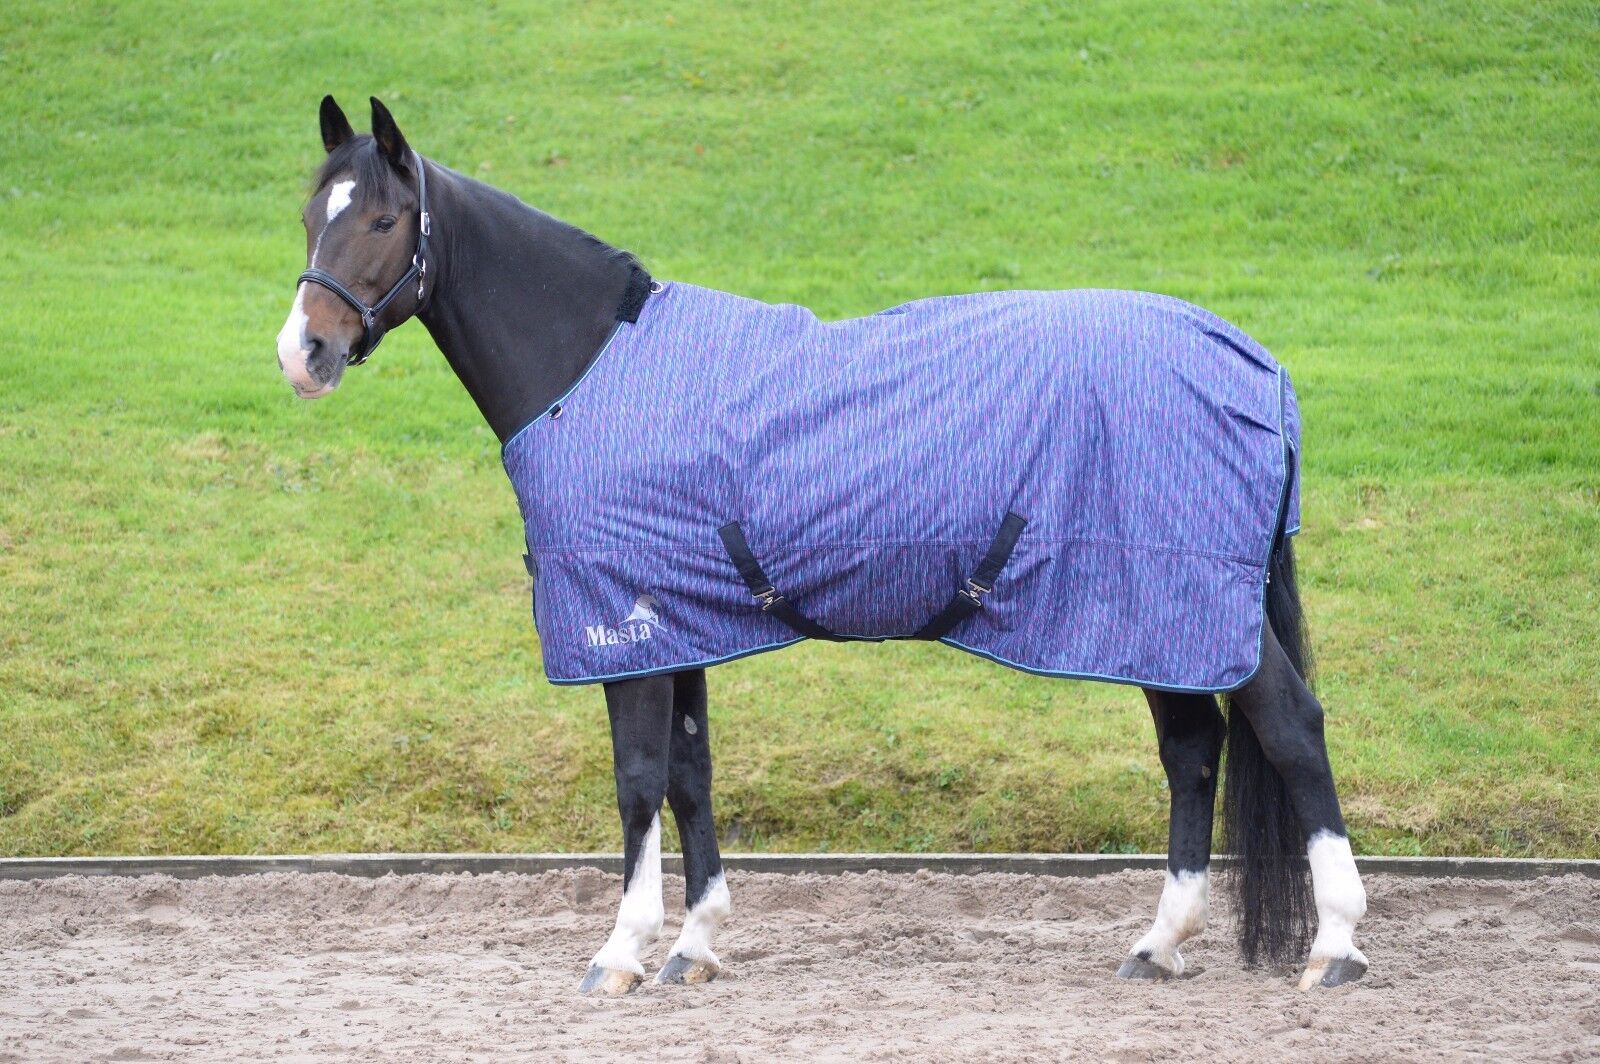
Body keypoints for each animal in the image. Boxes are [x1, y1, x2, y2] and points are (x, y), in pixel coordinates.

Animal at [277, 96, 1368, 995]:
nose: (303, 352)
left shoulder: (628, 626)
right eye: (309, 214)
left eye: (382, 220)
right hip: (1151, 615)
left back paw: (1335, 945)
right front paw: (696, 944)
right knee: (1192, 751)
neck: (588, 367)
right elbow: (691, 774)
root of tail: (1254, 364)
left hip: (1188, 603)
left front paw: (621, 951)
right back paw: (1160, 942)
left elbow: (637, 781)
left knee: (1287, 725)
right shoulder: (686, 623)